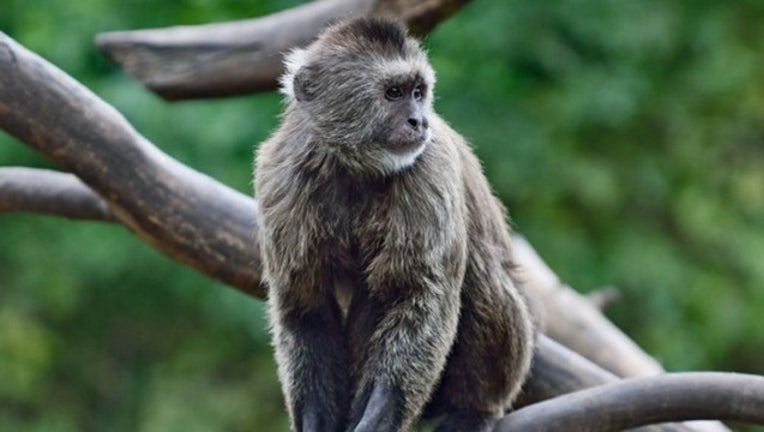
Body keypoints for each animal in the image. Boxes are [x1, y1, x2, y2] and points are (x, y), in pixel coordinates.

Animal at [254, 16, 535, 432]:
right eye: (393, 93)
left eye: (418, 92)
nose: (418, 120)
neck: (355, 168)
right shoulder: (280, 174)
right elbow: (305, 306)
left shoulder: (429, 165)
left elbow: (419, 297)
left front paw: (378, 418)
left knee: (476, 278)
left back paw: (474, 409)